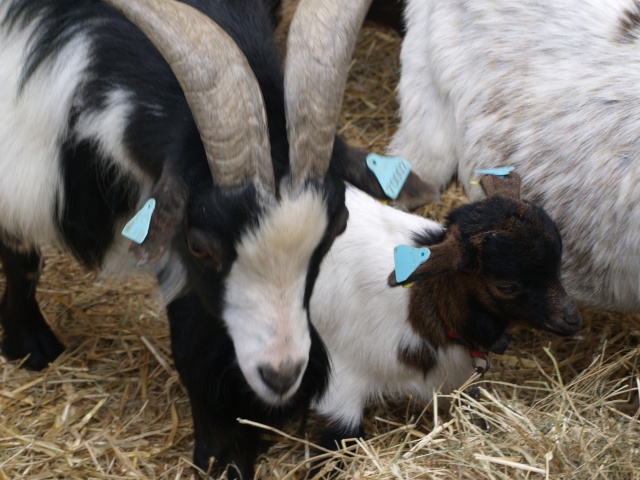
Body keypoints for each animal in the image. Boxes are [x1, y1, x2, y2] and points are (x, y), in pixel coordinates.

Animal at [0, 0, 440, 476]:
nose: (282, 375)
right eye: (200, 245)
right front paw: (29, 345)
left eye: (336, 228)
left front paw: (225, 450)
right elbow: (23, 256)